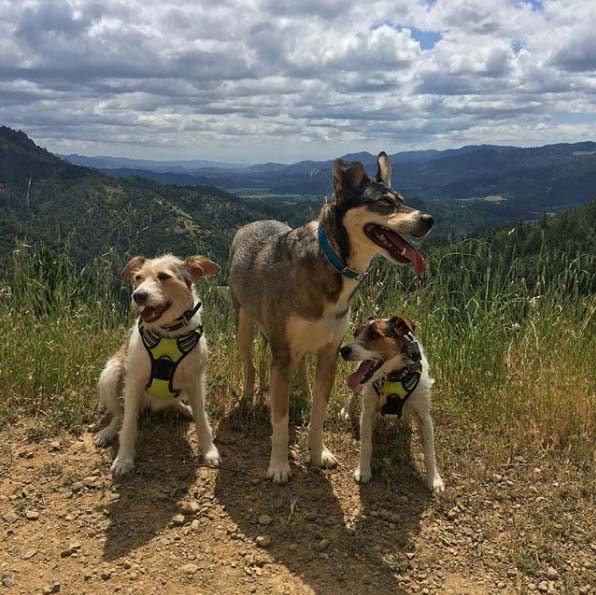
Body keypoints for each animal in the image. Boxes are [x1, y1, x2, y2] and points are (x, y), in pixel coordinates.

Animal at [93, 254, 221, 478]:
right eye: (138, 278)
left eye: (164, 276)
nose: (138, 296)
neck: (168, 332)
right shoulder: (134, 381)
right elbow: (128, 425)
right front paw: (124, 459)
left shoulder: (196, 380)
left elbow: (203, 420)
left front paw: (209, 451)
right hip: (111, 373)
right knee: (119, 414)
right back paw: (107, 431)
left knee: (173, 403)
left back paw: (184, 408)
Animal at [340, 316, 442, 494]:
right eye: (356, 333)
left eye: (374, 335)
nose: (343, 350)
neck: (393, 376)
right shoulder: (367, 413)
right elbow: (366, 445)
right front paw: (363, 471)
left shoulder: (424, 417)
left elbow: (430, 452)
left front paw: (434, 480)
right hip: (359, 385)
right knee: (353, 393)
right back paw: (346, 411)